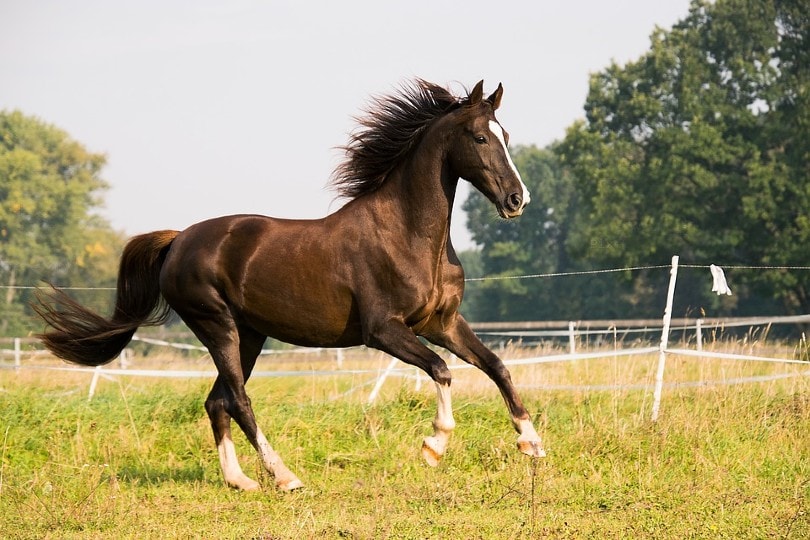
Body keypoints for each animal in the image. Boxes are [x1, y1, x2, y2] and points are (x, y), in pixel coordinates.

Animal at [34, 79, 546, 491]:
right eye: (479, 137)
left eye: (506, 136)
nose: (517, 200)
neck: (407, 235)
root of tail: (178, 240)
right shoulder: (384, 331)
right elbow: (441, 370)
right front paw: (434, 446)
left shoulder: (442, 323)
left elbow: (496, 366)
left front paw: (532, 443)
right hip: (217, 326)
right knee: (238, 400)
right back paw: (285, 477)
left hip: (250, 335)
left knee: (216, 401)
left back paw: (240, 481)